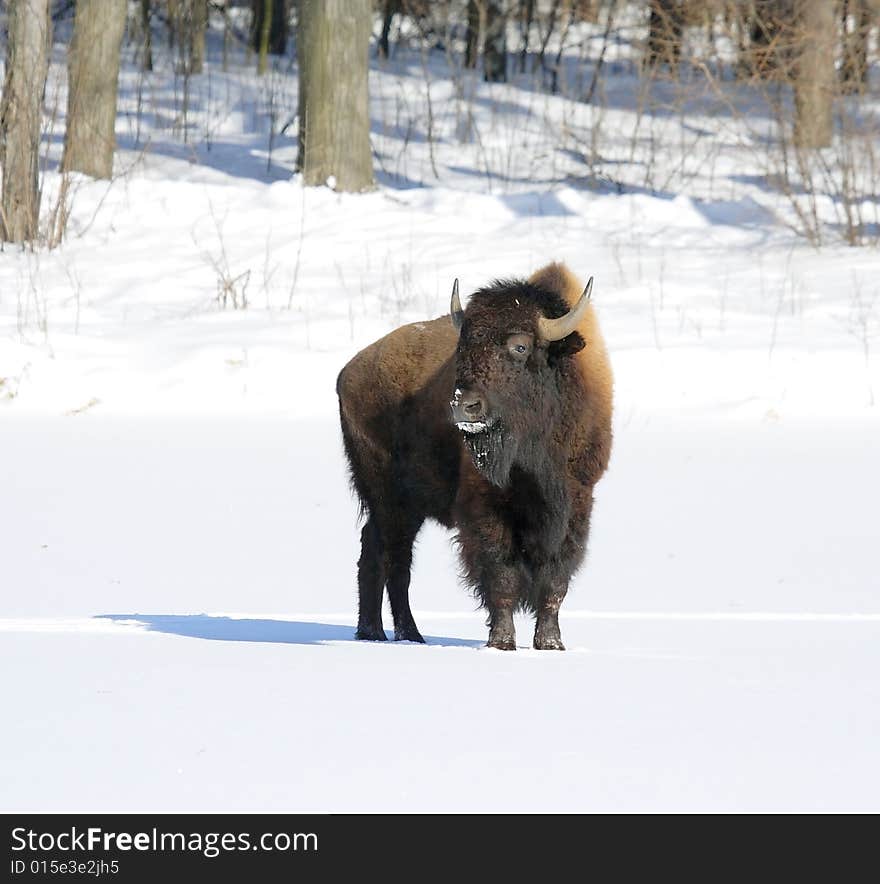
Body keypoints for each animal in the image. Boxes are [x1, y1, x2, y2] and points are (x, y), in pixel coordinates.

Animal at [336, 262, 612, 648]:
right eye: (463, 345)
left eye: (520, 346)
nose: (463, 405)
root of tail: (350, 371)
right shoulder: (485, 507)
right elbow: (501, 575)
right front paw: (502, 642)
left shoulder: (576, 504)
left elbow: (555, 581)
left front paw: (551, 644)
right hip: (388, 497)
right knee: (393, 557)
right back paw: (396, 635)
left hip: (403, 505)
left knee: (380, 552)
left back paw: (386, 633)